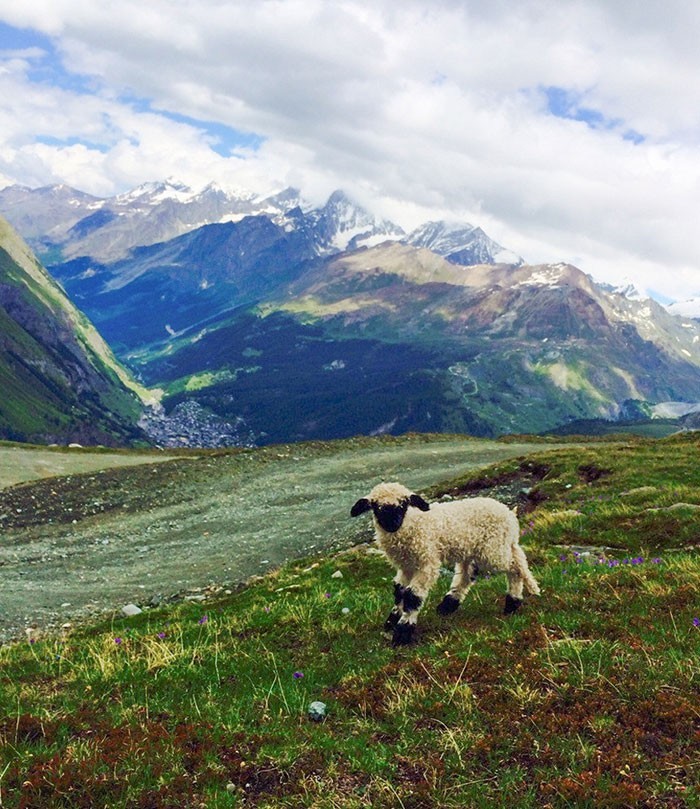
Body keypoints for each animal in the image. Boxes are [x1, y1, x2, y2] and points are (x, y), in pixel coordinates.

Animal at [350, 480, 540, 644]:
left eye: (404, 504)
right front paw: (392, 621)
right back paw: (448, 605)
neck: (412, 523)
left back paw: (512, 603)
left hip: (493, 550)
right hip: (471, 549)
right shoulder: (406, 566)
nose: (392, 524)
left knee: (514, 568)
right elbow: (399, 591)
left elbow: (412, 596)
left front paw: (403, 631)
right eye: (376, 507)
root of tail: (509, 514)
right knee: (469, 575)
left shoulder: (427, 562)